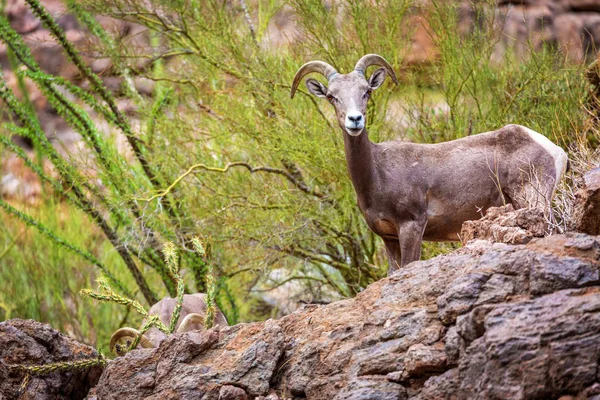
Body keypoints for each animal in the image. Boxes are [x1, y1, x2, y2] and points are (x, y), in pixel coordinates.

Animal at [292, 54, 568, 276]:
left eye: (366, 91)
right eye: (332, 96)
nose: (355, 119)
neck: (377, 174)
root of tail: (553, 149)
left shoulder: (412, 227)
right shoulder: (389, 237)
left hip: (533, 199)